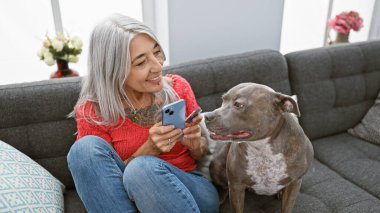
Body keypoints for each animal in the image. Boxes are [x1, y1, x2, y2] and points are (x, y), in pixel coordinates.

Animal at [206, 83, 314, 213]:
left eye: (238, 104)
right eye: (223, 100)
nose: (207, 116)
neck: (261, 147)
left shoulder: (295, 183)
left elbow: (287, 208)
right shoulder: (236, 186)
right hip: (216, 165)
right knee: (224, 186)